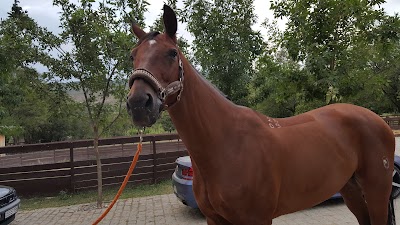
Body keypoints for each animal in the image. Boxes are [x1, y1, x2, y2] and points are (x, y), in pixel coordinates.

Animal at [126, 5, 396, 225]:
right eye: (132, 55)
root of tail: (380, 122)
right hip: (351, 189)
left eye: (172, 53)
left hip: (377, 191)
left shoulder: (258, 219)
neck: (225, 144)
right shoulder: (215, 219)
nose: (139, 103)